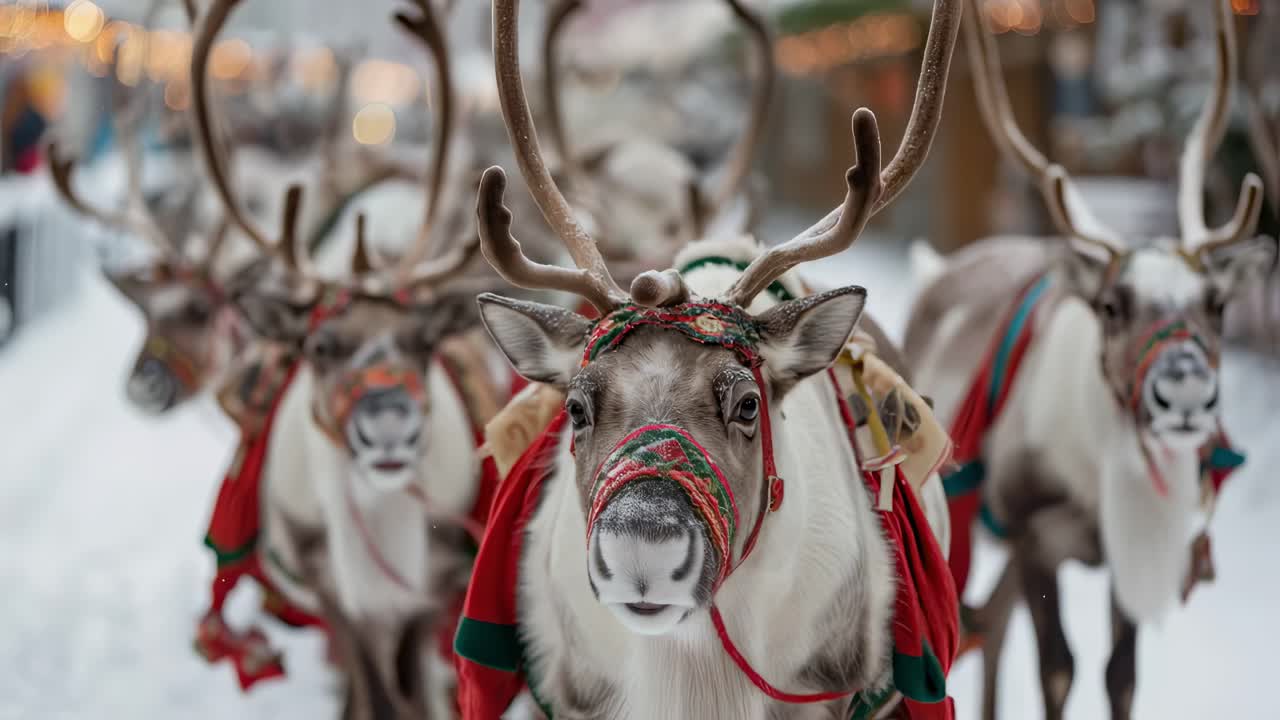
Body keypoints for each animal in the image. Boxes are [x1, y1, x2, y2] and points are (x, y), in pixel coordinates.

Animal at [188, 1, 513, 717]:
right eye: (318, 346)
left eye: (425, 342)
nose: (390, 424)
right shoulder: (333, 596)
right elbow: (374, 698)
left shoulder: (433, 591)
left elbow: (415, 693)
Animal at [900, 1, 1276, 719]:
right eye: (1110, 305)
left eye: (1216, 303)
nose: (1185, 393)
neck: (1100, 477)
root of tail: (937, 271)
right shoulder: (1033, 535)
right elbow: (1059, 669)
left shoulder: (1127, 559)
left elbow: (1119, 674)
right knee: (987, 625)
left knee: (992, 625)